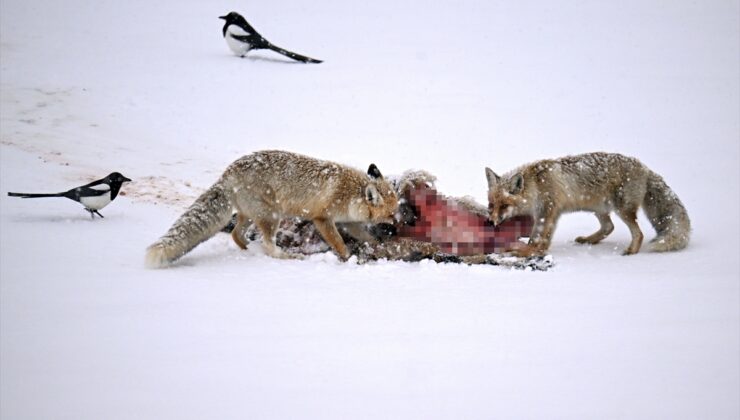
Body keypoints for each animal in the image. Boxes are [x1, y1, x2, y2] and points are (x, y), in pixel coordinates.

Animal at [145, 150, 398, 270]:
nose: (397, 227)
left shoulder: (348, 221)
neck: (349, 194)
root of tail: (227, 174)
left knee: (236, 234)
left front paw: (377, 244)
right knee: (269, 246)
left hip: (250, 216)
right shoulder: (322, 219)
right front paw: (348, 257)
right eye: (391, 214)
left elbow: (364, 235)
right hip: (272, 216)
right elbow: (339, 243)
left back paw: (248, 250)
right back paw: (289, 256)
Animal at [488, 152, 692, 256]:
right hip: (599, 209)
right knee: (609, 227)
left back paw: (631, 251)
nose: (491, 222)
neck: (537, 185)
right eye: (491, 205)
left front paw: (528, 251)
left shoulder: (548, 212)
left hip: (623, 209)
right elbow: (539, 238)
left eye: (504, 206)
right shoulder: (545, 214)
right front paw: (533, 250)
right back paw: (588, 240)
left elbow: (538, 238)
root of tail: (646, 168)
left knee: (638, 233)